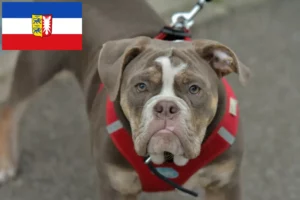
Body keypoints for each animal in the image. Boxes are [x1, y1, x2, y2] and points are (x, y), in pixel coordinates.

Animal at [0, 0, 250, 198]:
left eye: (194, 88)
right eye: (141, 86)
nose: (166, 106)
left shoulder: (224, 185)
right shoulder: (116, 187)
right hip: (37, 66)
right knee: (10, 108)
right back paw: (6, 164)